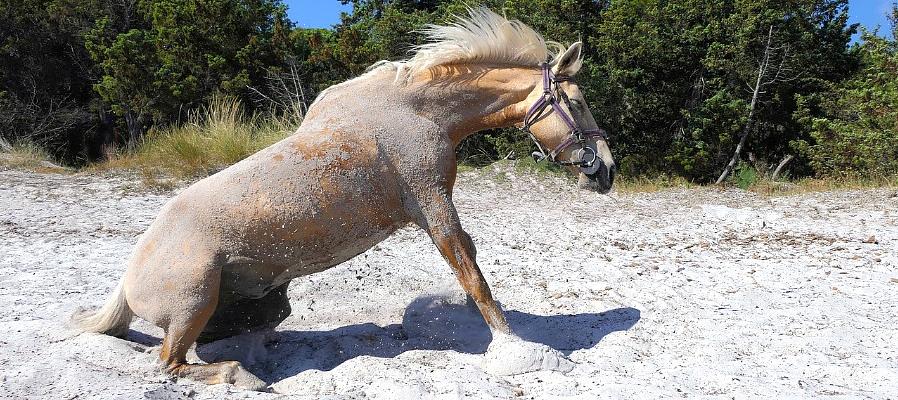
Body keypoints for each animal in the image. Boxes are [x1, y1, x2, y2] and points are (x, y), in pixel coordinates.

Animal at [72, 8, 616, 390]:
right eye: (578, 102)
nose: (606, 171)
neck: (416, 113)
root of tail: (127, 278)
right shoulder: (432, 205)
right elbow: (472, 273)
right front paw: (518, 350)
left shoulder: (436, 207)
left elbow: (471, 264)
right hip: (194, 302)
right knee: (169, 363)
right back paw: (241, 374)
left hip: (252, 302)